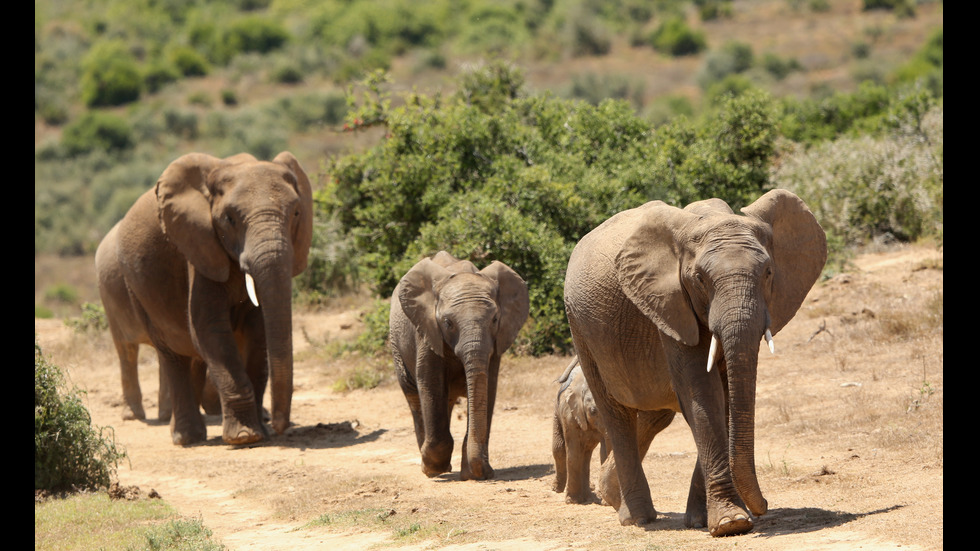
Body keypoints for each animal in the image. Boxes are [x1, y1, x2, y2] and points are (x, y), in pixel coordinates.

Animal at [94, 152, 312, 448]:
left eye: (297, 213)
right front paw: (244, 437)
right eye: (229, 219)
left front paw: (260, 432)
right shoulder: (198, 247)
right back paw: (182, 437)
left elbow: (257, 332)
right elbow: (209, 329)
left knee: (190, 355)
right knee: (161, 353)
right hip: (129, 290)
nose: (281, 426)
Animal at [388, 252, 528, 480]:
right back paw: (430, 466)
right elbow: (431, 385)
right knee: (414, 398)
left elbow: (488, 388)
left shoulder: (496, 341)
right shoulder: (426, 331)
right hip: (396, 345)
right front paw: (433, 469)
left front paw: (473, 474)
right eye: (447, 323)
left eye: (495, 319)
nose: (486, 473)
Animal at [552, 356, 604, 506]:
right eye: (593, 411)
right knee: (559, 449)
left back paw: (588, 495)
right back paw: (557, 489)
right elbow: (573, 452)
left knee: (586, 454)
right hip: (557, 412)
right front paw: (572, 501)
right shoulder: (569, 413)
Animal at [560, 189, 828, 536]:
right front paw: (731, 523)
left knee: (653, 415)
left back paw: (615, 497)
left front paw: (708, 520)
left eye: (768, 272)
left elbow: (723, 399)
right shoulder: (668, 301)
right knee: (615, 413)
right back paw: (637, 518)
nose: (764, 507)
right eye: (700, 279)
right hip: (580, 328)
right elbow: (702, 392)